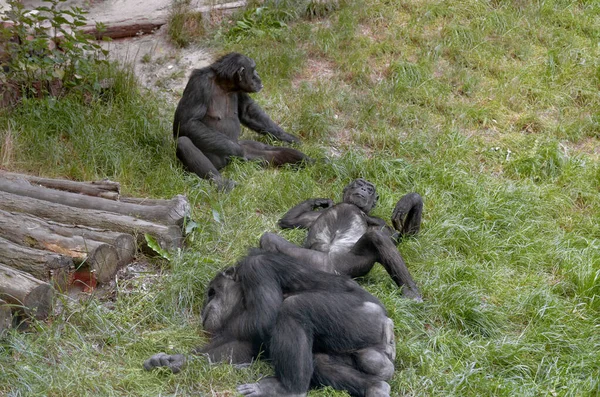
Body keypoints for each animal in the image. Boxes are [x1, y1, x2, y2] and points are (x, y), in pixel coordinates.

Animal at [144, 249, 398, 394]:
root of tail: (386, 325)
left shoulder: (256, 267)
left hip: (360, 319)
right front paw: (171, 361)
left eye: (212, 292)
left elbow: (264, 318)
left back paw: (287, 389)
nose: (205, 307)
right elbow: (236, 349)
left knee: (294, 308)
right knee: (321, 361)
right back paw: (376, 387)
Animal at [172, 52, 310, 190]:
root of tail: (227, 165)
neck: (224, 85)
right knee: (184, 142)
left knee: (269, 151)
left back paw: (308, 161)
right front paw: (238, 150)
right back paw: (221, 182)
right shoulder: (199, 84)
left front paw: (287, 137)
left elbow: (248, 110)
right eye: (253, 69)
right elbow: (188, 123)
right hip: (217, 161)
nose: (258, 75)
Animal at [260, 178, 424, 298]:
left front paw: (410, 200)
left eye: (370, 189)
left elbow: (406, 238)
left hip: (345, 266)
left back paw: (411, 293)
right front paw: (319, 201)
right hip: (305, 259)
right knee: (268, 239)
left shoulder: (383, 225)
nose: (364, 189)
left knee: (377, 238)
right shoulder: (313, 216)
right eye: (359, 183)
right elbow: (288, 222)